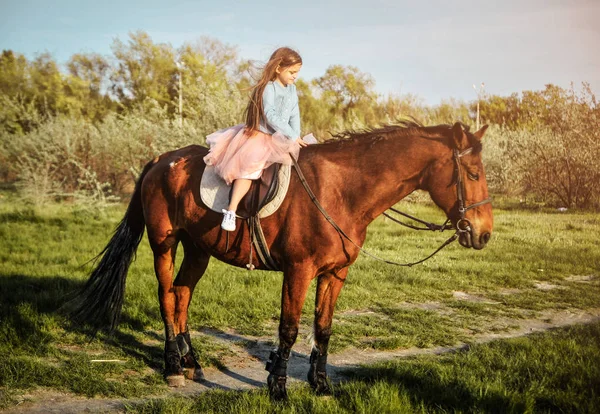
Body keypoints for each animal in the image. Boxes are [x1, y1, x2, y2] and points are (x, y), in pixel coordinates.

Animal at [70, 121, 492, 400]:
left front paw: (320, 385)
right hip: (164, 243)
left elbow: (323, 328)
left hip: (198, 249)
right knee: (166, 297)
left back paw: (191, 363)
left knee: (182, 295)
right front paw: (278, 387)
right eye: (473, 173)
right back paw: (173, 366)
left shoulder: (335, 274)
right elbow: (288, 329)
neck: (341, 191)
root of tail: (162, 159)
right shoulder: (299, 271)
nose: (484, 233)